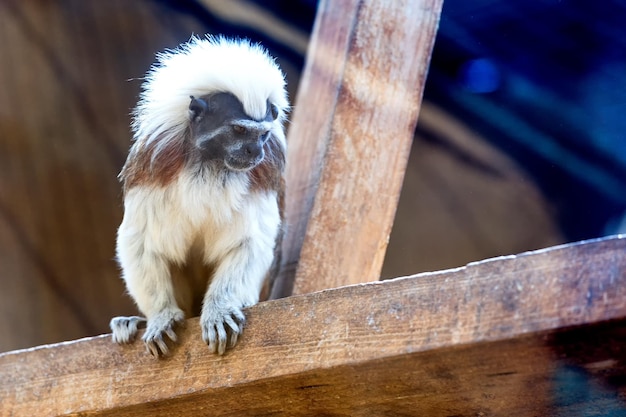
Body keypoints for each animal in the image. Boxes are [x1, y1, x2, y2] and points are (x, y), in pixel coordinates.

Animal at [109, 35, 288, 356]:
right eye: (238, 130)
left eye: (262, 135)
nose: (254, 152)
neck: (211, 164)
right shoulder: (154, 167)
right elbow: (141, 242)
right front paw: (161, 316)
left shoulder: (264, 174)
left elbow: (248, 243)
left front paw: (219, 309)